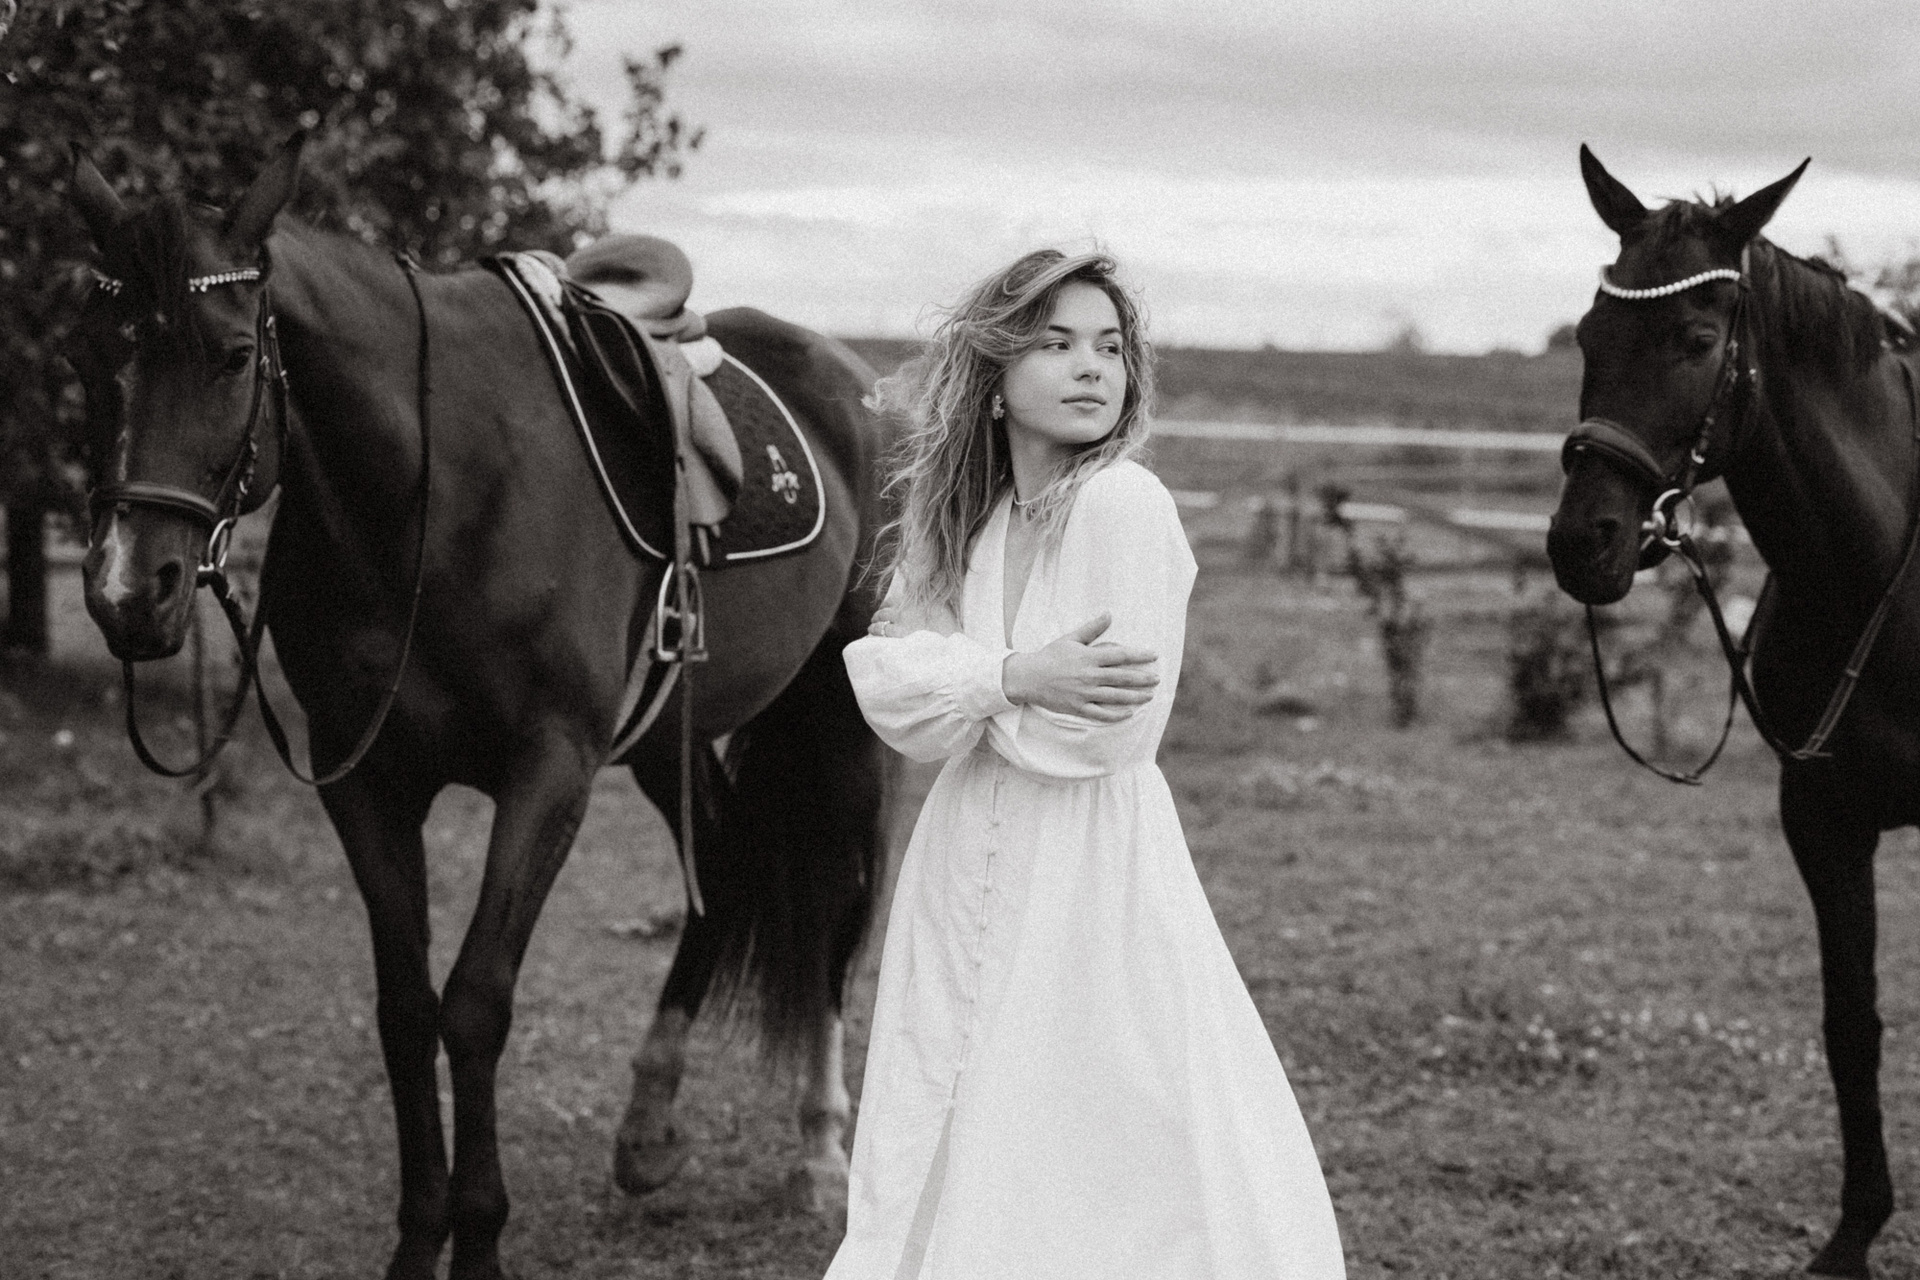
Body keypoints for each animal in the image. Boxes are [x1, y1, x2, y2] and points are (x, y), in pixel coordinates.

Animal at [67, 135, 891, 1280]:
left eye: (232, 355)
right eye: (90, 358)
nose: (125, 591)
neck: (431, 494)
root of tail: (857, 380)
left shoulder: (548, 773)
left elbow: (476, 1003)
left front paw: (482, 1237)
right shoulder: (366, 780)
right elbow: (406, 1010)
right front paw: (421, 1239)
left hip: (843, 714)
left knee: (838, 903)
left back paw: (819, 1146)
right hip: (661, 735)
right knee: (725, 866)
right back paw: (647, 1127)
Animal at [1548, 146, 1920, 1278]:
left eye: (1698, 340)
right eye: (1588, 333)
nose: (1583, 541)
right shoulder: (1824, 819)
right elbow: (1851, 1021)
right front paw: (1852, 1233)